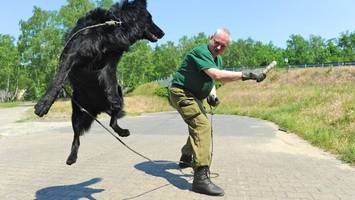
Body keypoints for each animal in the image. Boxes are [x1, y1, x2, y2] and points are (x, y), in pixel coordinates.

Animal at [34, 0, 165, 166]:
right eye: (150, 19)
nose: (163, 33)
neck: (113, 28)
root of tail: (98, 109)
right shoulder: (71, 56)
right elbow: (58, 81)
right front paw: (43, 104)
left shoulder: (109, 64)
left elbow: (111, 81)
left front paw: (114, 99)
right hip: (76, 114)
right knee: (77, 138)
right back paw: (72, 157)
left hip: (117, 96)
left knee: (112, 122)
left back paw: (122, 130)